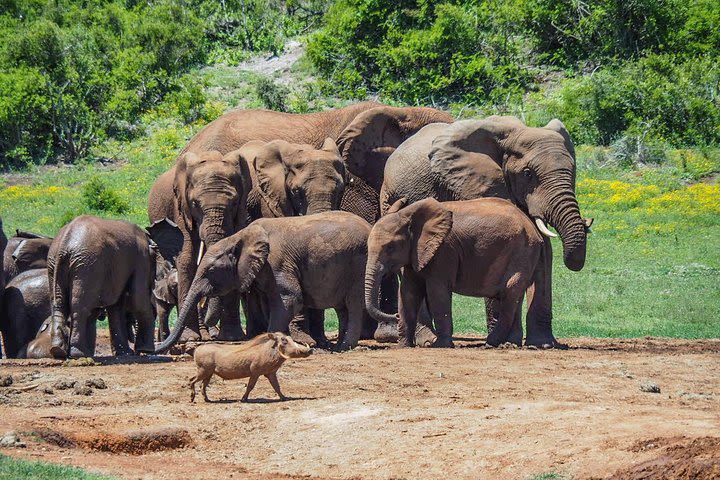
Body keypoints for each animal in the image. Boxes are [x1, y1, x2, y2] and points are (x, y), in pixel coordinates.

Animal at [156, 212, 372, 354]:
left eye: (211, 271)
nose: (159, 348)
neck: (240, 236)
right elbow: (267, 303)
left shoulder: (276, 263)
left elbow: (290, 299)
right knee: (342, 308)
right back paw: (337, 345)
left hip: (358, 264)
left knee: (352, 305)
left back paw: (344, 347)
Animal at [368, 197, 544, 346]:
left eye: (390, 248)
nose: (395, 316)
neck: (408, 214)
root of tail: (532, 227)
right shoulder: (415, 254)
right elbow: (407, 293)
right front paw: (403, 346)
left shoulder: (444, 251)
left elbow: (437, 292)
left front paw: (441, 345)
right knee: (515, 297)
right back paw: (509, 344)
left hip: (522, 252)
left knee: (509, 293)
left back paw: (491, 343)